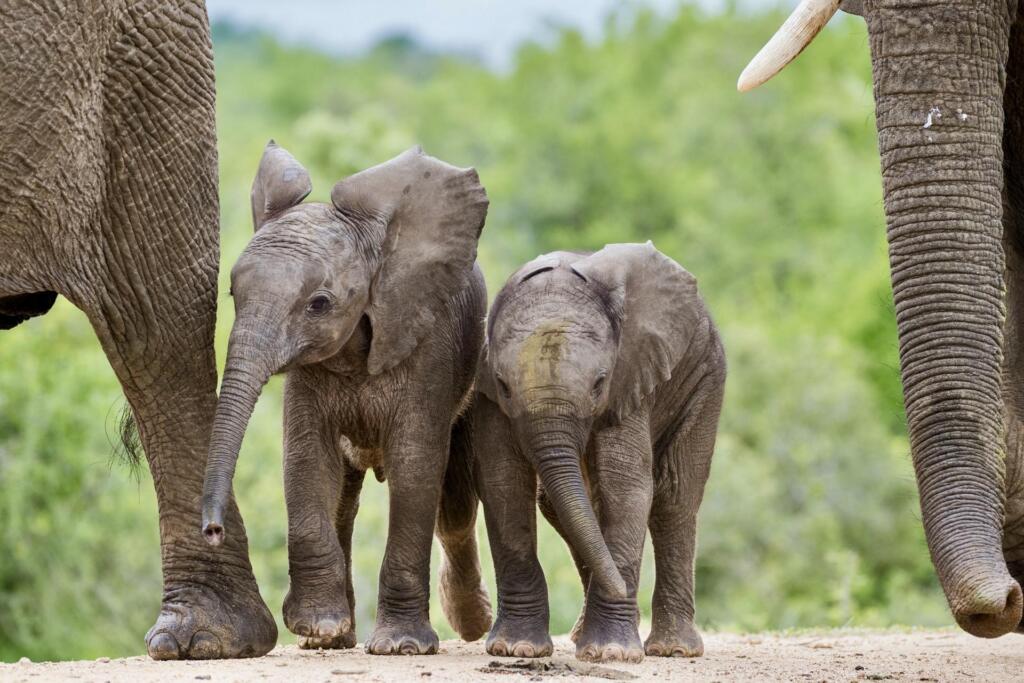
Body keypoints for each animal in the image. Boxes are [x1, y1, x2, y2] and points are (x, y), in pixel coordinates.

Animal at [200, 141, 493, 655]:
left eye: (319, 304)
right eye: (233, 292)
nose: (213, 531)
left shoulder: (426, 349)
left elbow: (416, 465)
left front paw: (401, 646)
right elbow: (307, 458)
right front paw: (317, 626)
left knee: (454, 505)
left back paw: (475, 625)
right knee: (345, 501)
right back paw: (332, 641)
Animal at [464, 243, 726, 663]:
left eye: (599, 383)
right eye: (504, 385)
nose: (623, 590)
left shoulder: (630, 378)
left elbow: (626, 487)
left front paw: (612, 653)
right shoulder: (487, 391)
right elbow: (504, 481)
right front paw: (516, 649)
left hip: (705, 375)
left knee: (674, 497)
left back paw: (672, 649)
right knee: (562, 504)